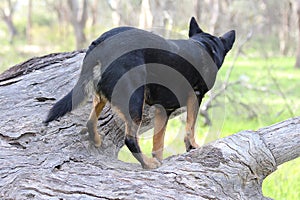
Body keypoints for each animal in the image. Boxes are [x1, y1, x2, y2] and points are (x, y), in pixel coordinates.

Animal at [45, 17, 236, 169]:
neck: (204, 45)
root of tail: (101, 42)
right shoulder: (195, 96)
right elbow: (190, 127)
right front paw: (193, 146)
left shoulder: (163, 110)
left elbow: (158, 140)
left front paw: (160, 158)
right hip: (135, 101)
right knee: (130, 139)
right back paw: (147, 164)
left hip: (102, 97)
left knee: (91, 122)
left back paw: (98, 141)